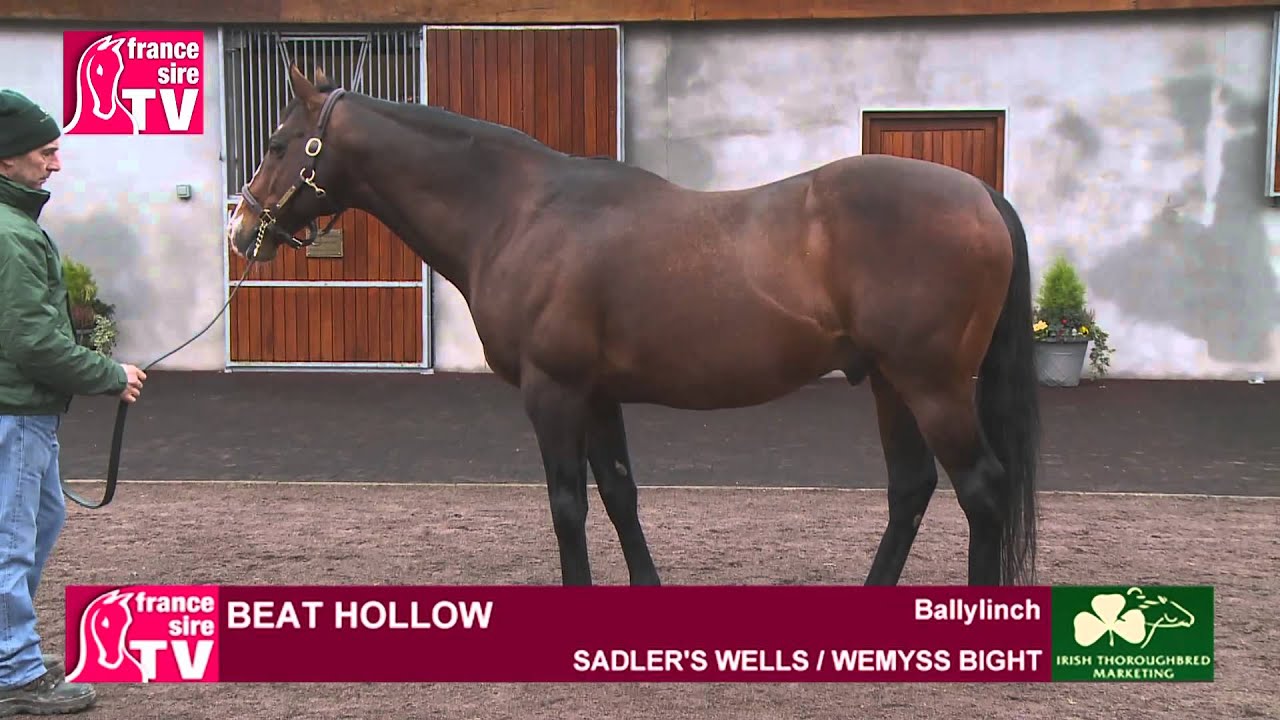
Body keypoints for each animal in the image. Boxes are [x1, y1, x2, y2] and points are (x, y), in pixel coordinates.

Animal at [226, 66, 1041, 588]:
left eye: (276, 142)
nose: (240, 231)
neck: (518, 211)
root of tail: (980, 194)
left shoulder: (553, 391)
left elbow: (567, 504)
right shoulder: (596, 394)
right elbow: (620, 493)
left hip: (932, 385)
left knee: (981, 488)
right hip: (888, 383)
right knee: (912, 489)